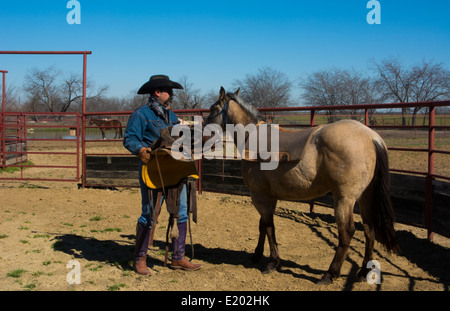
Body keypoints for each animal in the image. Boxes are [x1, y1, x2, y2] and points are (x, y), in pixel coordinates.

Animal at [202, 87, 400, 286]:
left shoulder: (259, 196)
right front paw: (257, 255)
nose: (204, 135)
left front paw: (272, 263)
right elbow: (263, 226)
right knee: (369, 230)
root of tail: (371, 136)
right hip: (365, 197)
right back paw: (362, 272)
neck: (252, 137)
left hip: (344, 199)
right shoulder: (269, 197)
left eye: (212, 109)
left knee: (346, 232)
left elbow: (269, 227)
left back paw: (330, 274)